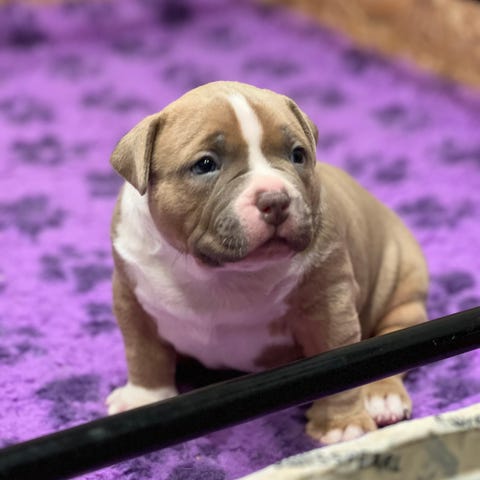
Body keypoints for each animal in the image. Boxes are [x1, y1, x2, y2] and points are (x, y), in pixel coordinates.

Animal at [106, 81, 428, 444]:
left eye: (297, 155)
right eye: (205, 164)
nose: (275, 199)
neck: (217, 272)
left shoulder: (328, 304)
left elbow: (339, 364)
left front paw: (343, 425)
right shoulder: (131, 295)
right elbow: (143, 352)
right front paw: (143, 399)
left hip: (402, 289)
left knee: (394, 338)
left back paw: (381, 396)